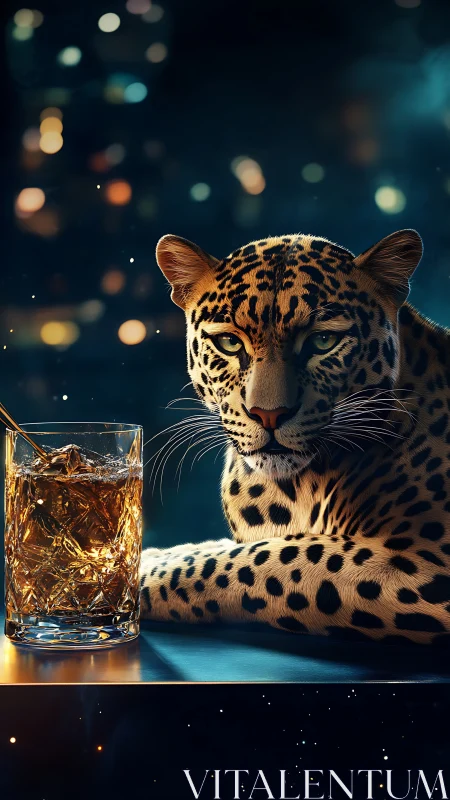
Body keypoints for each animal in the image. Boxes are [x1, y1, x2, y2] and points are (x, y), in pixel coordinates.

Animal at [140, 228, 450, 645]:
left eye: (322, 342)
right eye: (229, 343)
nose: (269, 414)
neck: (295, 487)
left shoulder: (424, 562)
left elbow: (263, 559)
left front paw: (142, 572)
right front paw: (154, 554)